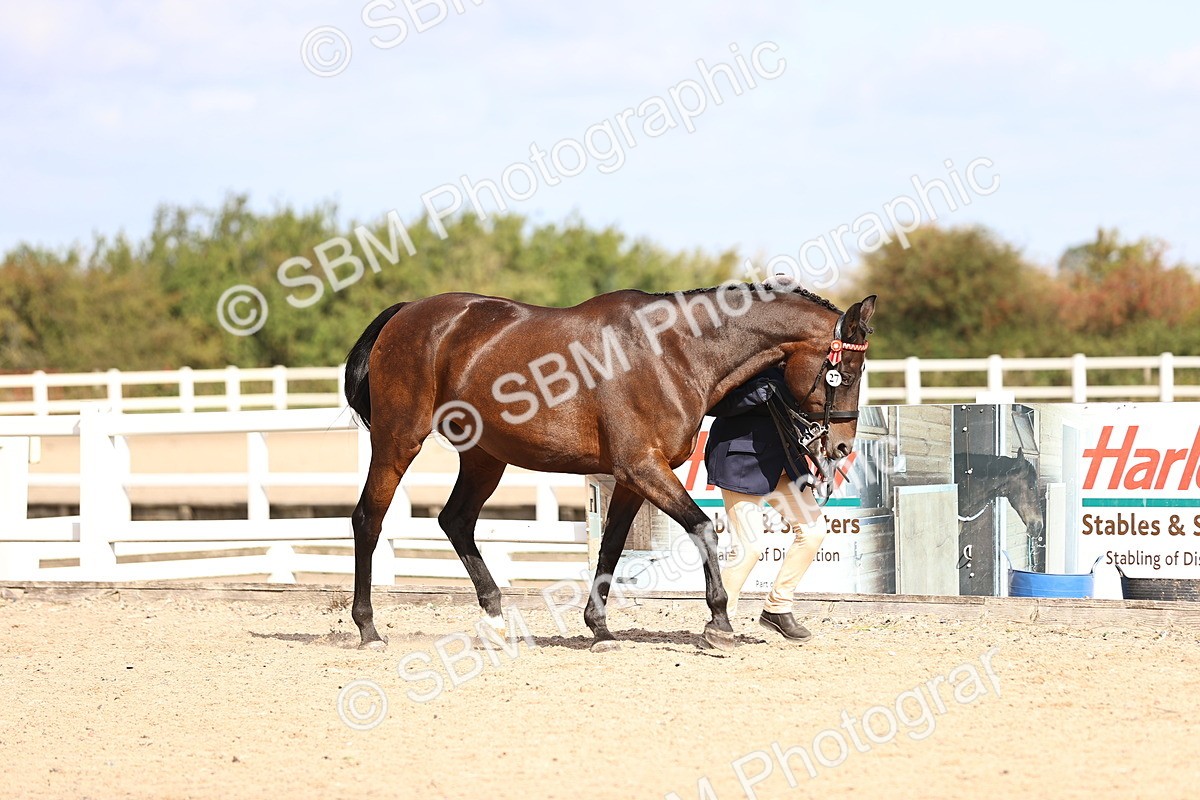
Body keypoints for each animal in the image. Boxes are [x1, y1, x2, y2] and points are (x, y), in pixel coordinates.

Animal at [343, 280, 876, 651]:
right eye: (846, 374)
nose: (840, 448)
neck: (673, 351)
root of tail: (407, 313)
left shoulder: (632, 479)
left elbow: (613, 547)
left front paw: (599, 628)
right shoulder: (643, 467)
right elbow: (703, 529)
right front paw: (719, 623)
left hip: (484, 457)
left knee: (455, 521)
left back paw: (494, 619)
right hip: (398, 440)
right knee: (369, 519)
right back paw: (368, 628)